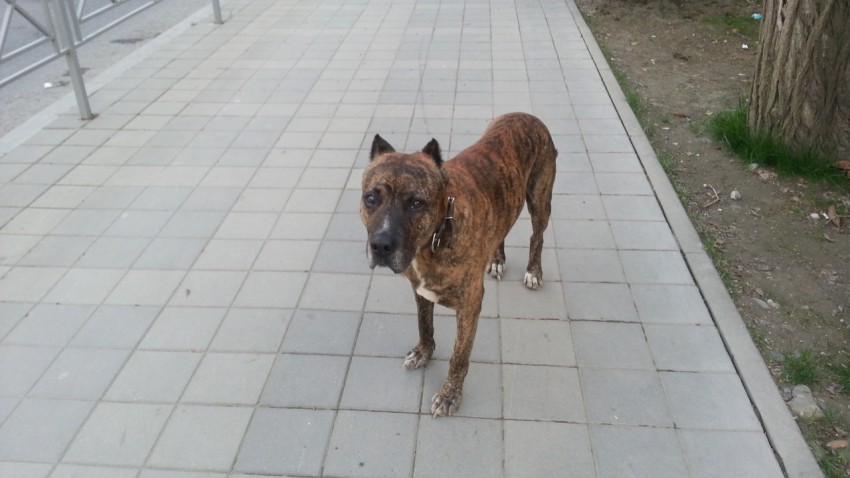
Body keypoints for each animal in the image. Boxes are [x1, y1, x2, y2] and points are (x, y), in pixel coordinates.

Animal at [360, 112, 557, 416]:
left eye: (417, 203)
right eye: (371, 198)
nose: (380, 246)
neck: (436, 237)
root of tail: (527, 116)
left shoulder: (469, 306)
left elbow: (459, 356)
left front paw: (449, 394)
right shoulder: (420, 291)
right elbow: (424, 325)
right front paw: (423, 353)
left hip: (540, 198)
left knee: (537, 235)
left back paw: (533, 271)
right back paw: (497, 259)